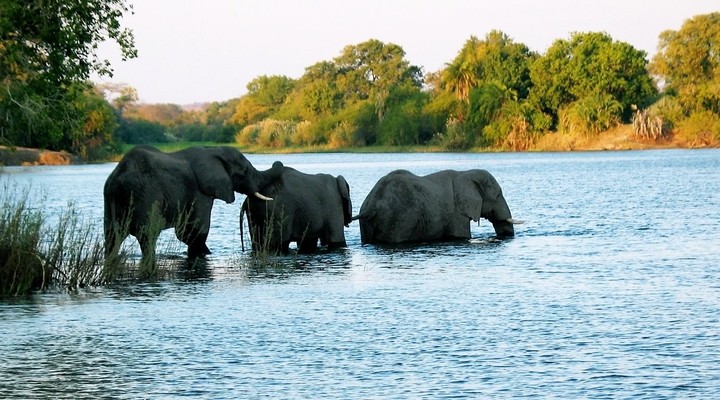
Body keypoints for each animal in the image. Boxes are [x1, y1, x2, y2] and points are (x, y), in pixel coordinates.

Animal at [104, 145, 284, 268]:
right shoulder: (199, 191)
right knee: (147, 236)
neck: (212, 151)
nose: (278, 162)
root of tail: (118, 177)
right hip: (145, 195)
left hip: (111, 200)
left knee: (112, 236)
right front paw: (205, 254)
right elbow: (194, 230)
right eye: (245, 170)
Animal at [352, 168, 516, 244]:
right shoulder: (456, 214)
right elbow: (461, 235)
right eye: (498, 195)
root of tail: (370, 207)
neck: (465, 173)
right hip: (396, 219)